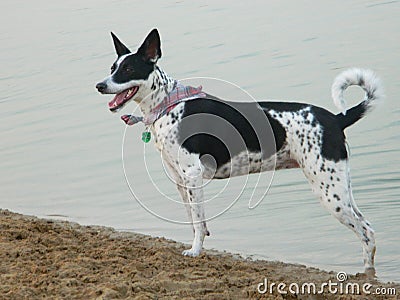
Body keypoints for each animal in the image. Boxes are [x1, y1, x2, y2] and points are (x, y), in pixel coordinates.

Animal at [95, 28, 382, 274]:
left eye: (128, 68)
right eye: (112, 68)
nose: (100, 85)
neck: (168, 105)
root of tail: (335, 119)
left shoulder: (192, 176)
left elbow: (197, 221)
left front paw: (195, 250)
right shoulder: (180, 180)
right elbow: (194, 220)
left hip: (331, 193)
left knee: (367, 232)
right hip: (338, 187)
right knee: (367, 229)